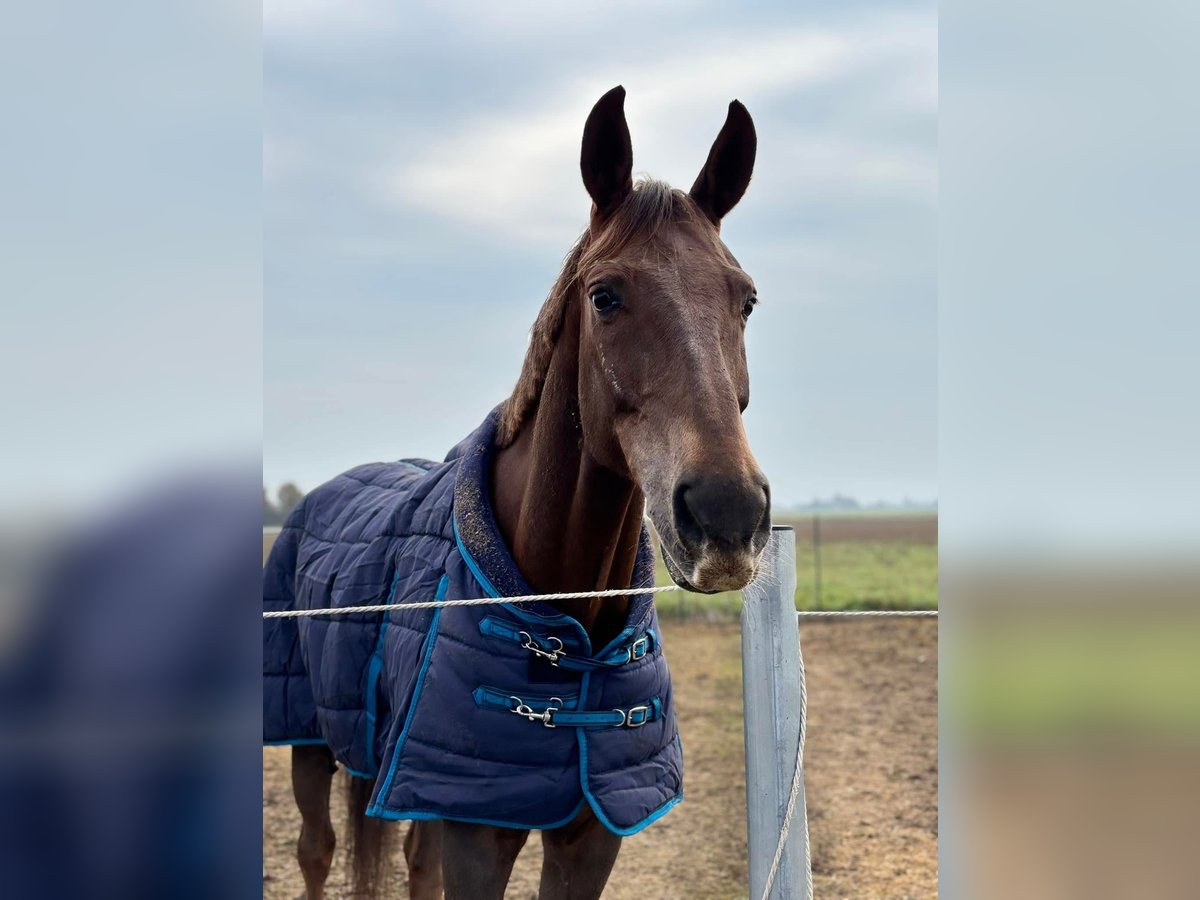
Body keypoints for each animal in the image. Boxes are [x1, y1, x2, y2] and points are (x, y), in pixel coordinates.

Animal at [265, 86, 768, 900]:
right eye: (605, 296)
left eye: (745, 300)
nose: (727, 515)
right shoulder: (477, 832)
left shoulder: (589, 838)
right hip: (310, 742)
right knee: (317, 850)